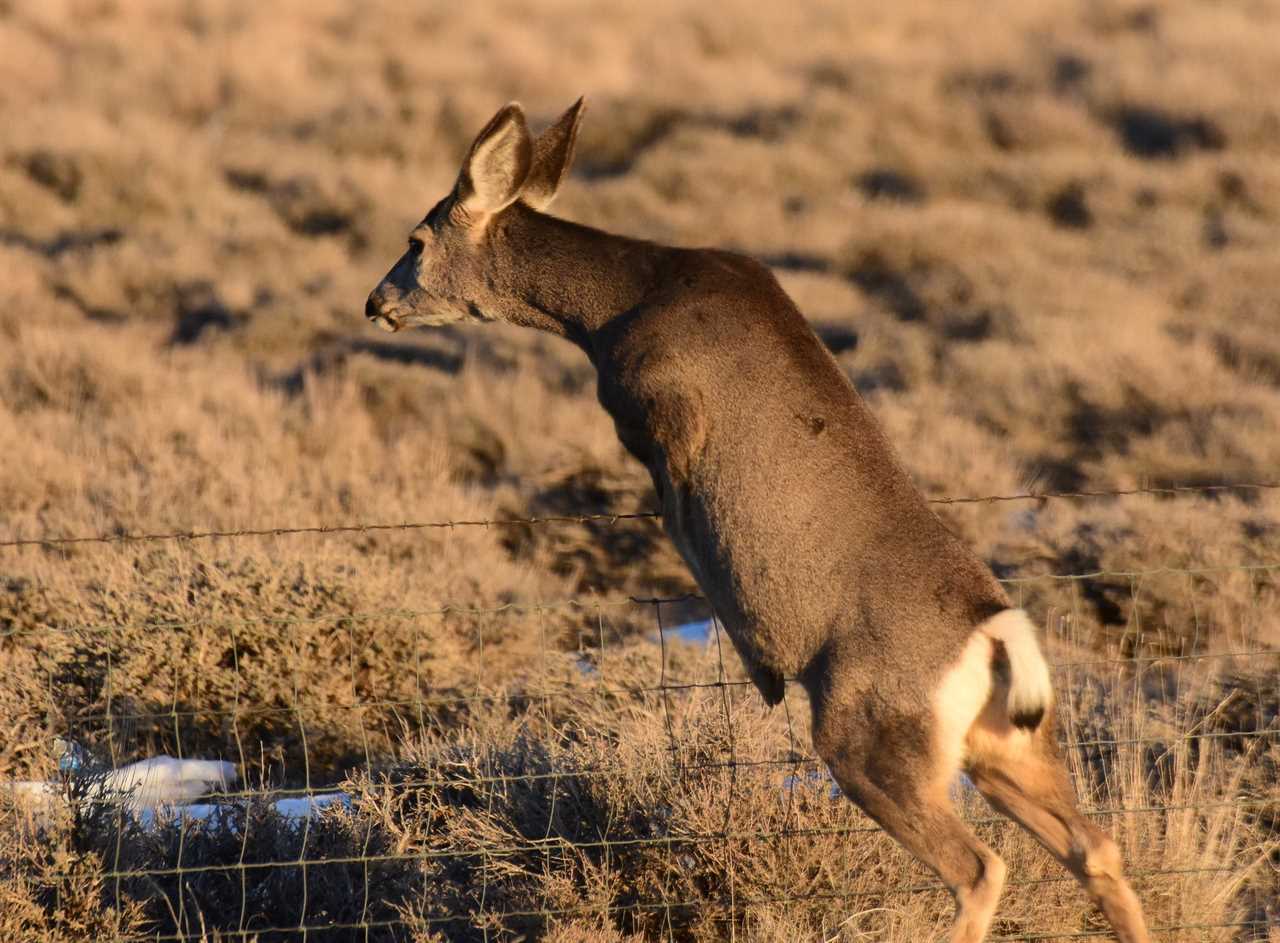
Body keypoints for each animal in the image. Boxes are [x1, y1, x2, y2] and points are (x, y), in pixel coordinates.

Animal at [363, 99, 1152, 936]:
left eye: (416, 239)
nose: (375, 302)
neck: (614, 307)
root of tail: (995, 636)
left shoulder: (661, 420)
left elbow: (684, 528)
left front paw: (760, 659)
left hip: (871, 734)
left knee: (980, 865)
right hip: (1006, 747)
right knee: (1096, 844)